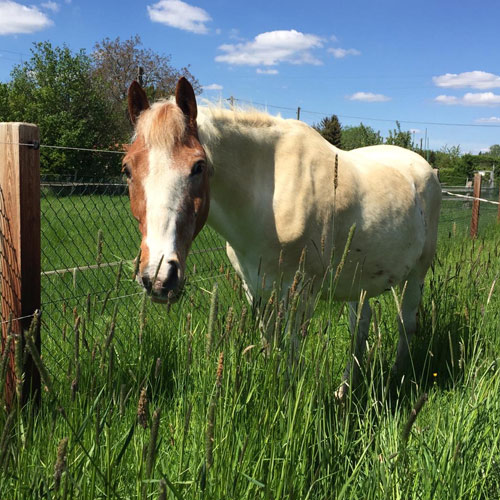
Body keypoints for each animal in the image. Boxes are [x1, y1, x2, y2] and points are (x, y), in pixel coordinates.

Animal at [122, 77, 442, 398]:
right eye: (127, 169)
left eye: (198, 165)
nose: (159, 278)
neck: (269, 200)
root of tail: (426, 169)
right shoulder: (256, 289)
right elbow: (271, 347)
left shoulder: (302, 293)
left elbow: (291, 354)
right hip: (357, 282)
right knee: (360, 327)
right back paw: (345, 390)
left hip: (416, 274)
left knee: (405, 323)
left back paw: (398, 379)